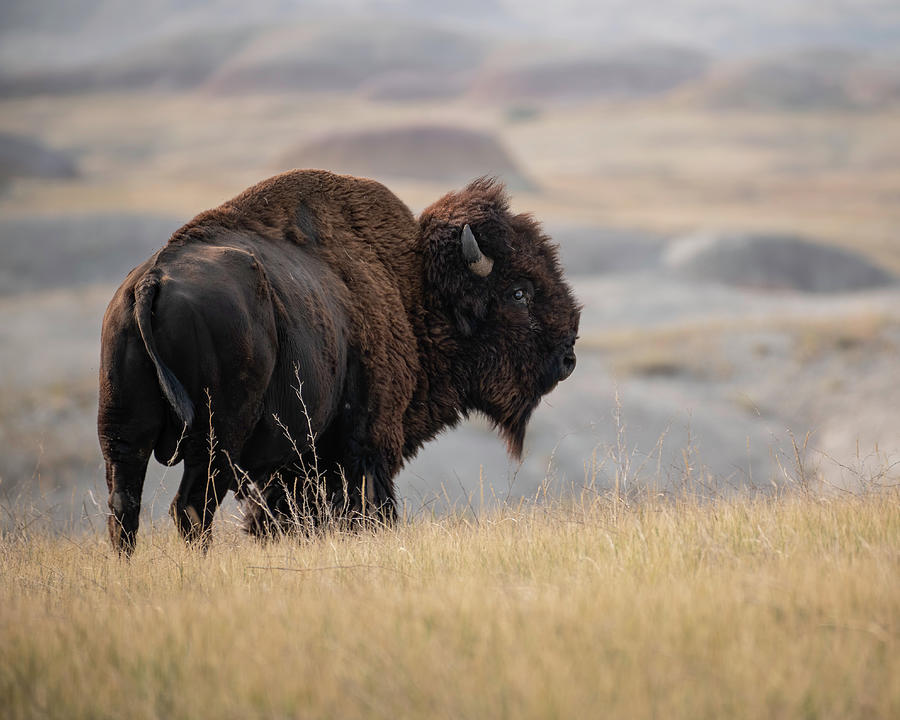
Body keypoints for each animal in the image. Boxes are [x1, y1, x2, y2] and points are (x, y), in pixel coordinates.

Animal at [96, 172, 576, 556]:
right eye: (519, 292)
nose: (568, 358)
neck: (413, 289)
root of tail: (151, 282)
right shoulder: (364, 445)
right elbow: (365, 510)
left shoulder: (289, 466)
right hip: (216, 439)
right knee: (190, 509)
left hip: (122, 432)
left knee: (125, 506)